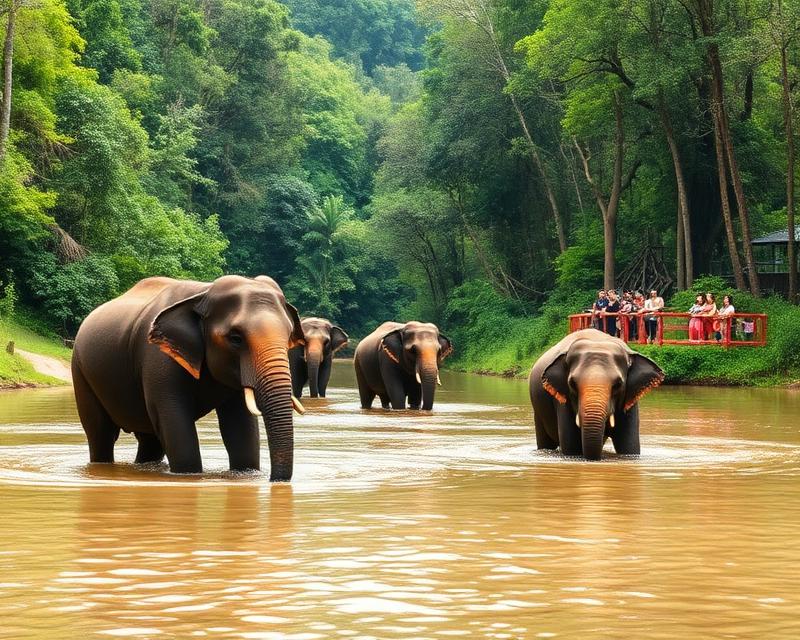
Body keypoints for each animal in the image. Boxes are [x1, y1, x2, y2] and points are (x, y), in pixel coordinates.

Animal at [71, 275, 306, 479]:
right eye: (236, 338)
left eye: (288, 336)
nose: (274, 480)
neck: (203, 293)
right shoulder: (158, 360)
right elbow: (175, 423)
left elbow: (240, 427)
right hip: (80, 371)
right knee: (101, 433)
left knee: (149, 439)